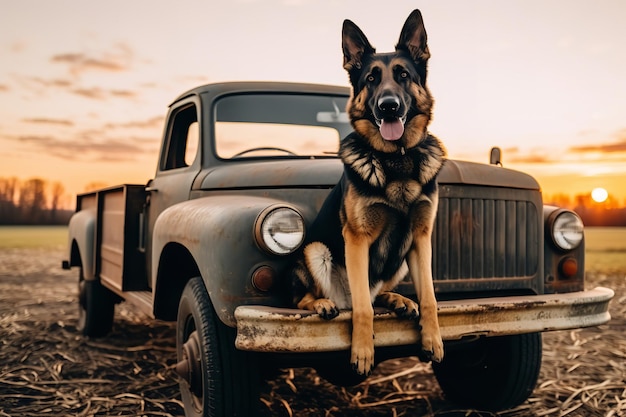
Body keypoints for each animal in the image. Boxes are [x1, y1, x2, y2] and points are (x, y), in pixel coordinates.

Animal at [292, 8, 444, 374]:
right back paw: (322, 303)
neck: (396, 158)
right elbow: (363, 308)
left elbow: (430, 298)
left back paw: (397, 299)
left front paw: (433, 339)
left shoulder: (420, 238)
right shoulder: (357, 239)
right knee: (308, 298)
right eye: (371, 79)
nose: (389, 106)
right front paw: (362, 351)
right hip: (315, 250)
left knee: (376, 294)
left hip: (400, 260)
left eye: (403, 75)